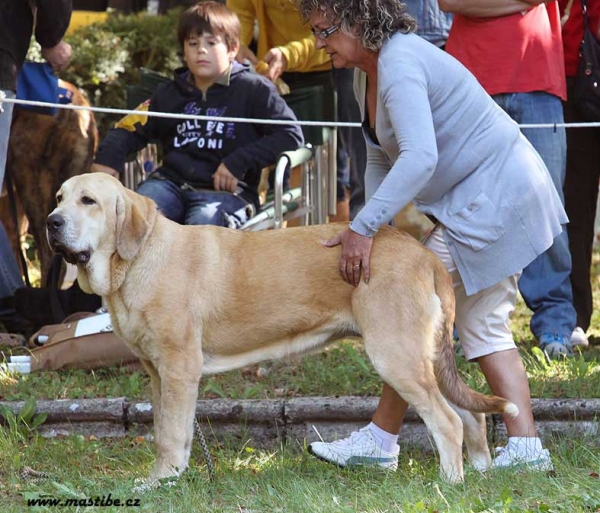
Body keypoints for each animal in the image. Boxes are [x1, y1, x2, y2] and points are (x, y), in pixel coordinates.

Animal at [47, 174, 516, 482]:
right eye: (60, 197)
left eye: (88, 201)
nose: (52, 221)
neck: (136, 261)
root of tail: (424, 255)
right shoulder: (158, 374)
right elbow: (166, 430)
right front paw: (168, 479)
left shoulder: (179, 370)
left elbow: (170, 434)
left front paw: (162, 483)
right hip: (425, 360)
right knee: (470, 416)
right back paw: (479, 475)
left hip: (396, 356)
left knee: (448, 422)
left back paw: (449, 484)